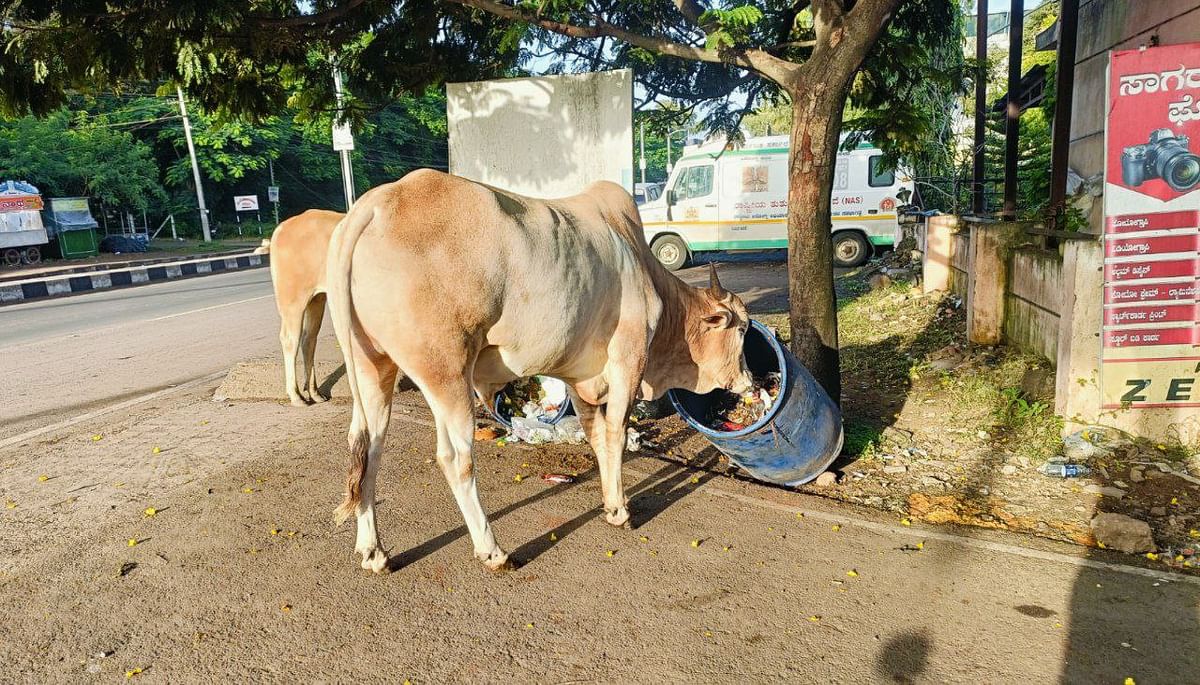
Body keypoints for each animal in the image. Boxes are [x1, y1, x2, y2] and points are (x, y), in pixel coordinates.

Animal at [268, 206, 343, 405]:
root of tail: (283, 227)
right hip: (293, 298)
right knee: (290, 339)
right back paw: (296, 395)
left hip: (317, 298)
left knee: (309, 339)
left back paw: (314, 392)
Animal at [324, 171, 744, 573]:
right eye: (741, 329)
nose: (747, 380)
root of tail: (376, 203)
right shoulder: (629, 357)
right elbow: (616, 432)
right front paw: (621, 510)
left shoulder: (579, 375)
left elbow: (594, 433)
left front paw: (610, 504)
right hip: (446, 372)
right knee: (455, 458)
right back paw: (493, 552)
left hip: (372, 366)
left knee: (367, 449)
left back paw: (374, 552)